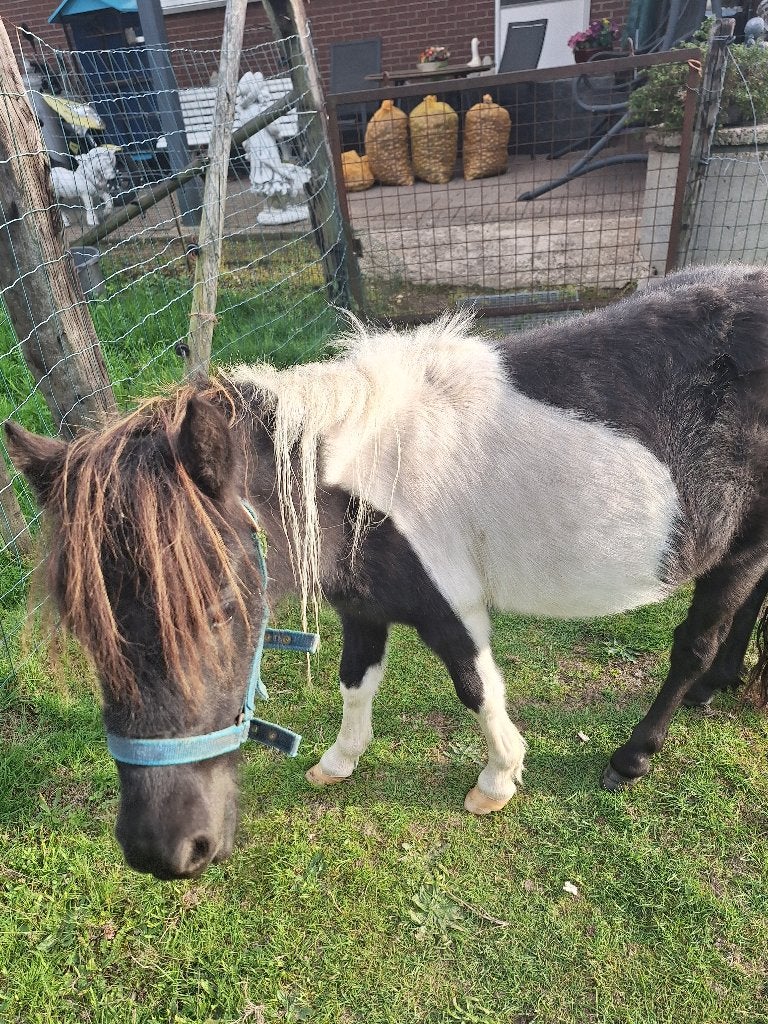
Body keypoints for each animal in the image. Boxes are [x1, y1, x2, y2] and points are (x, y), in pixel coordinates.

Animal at [6, 263, 768, 881]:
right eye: (82, 624)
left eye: (222, 607)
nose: (163, 851)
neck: (364, 484)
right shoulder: (363, 607)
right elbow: (355, 681)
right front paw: (339, 762)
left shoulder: (452, 606)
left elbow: (476, 688)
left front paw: (498, 780)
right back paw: (719, 688)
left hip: (738, 550)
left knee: (695, 642)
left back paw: (635, 755)